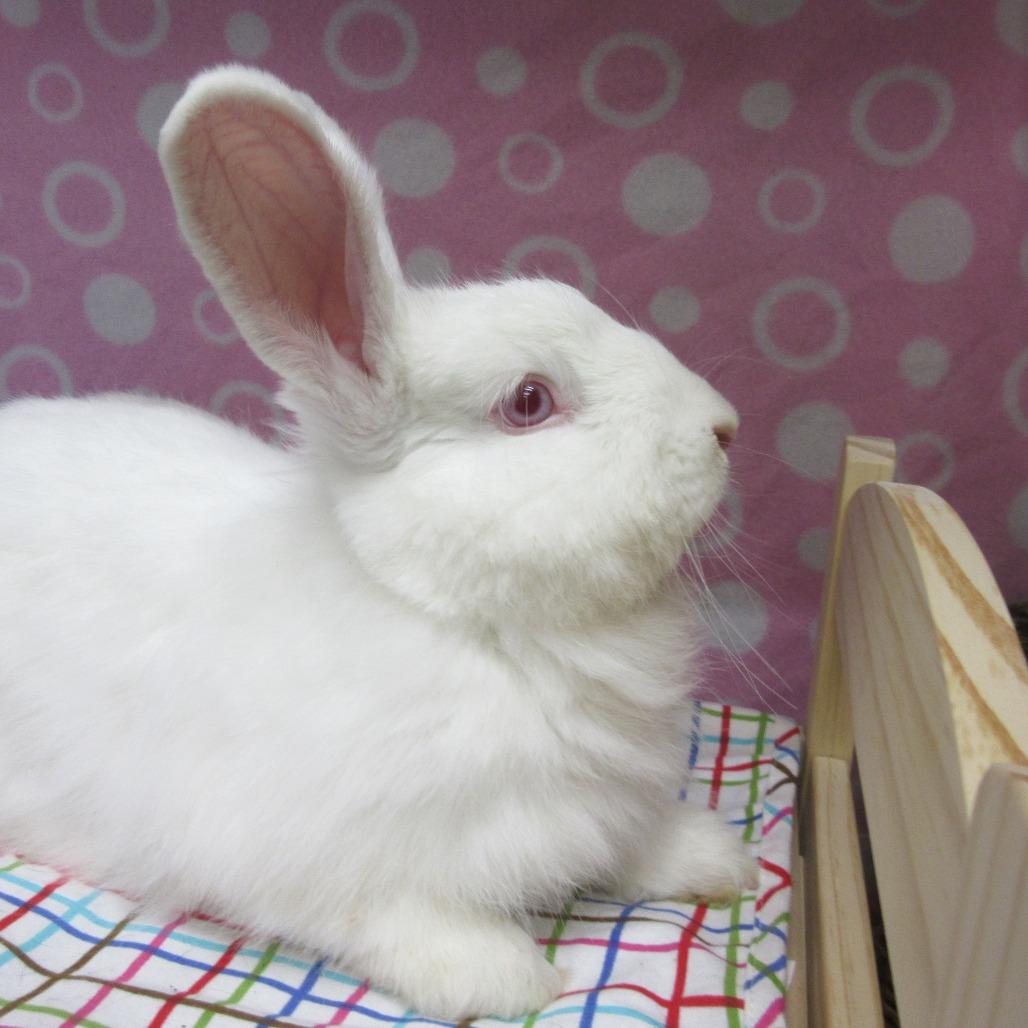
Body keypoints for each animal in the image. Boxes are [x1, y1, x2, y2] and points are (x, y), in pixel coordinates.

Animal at [0, 66, 753, 1019]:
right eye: (529, 401)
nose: (724, 427)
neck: (454, 614)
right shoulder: (316, 858)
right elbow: (397, 918)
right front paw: (510, 977)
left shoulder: (605, 803)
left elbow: (634, 842)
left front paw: (715, 858)